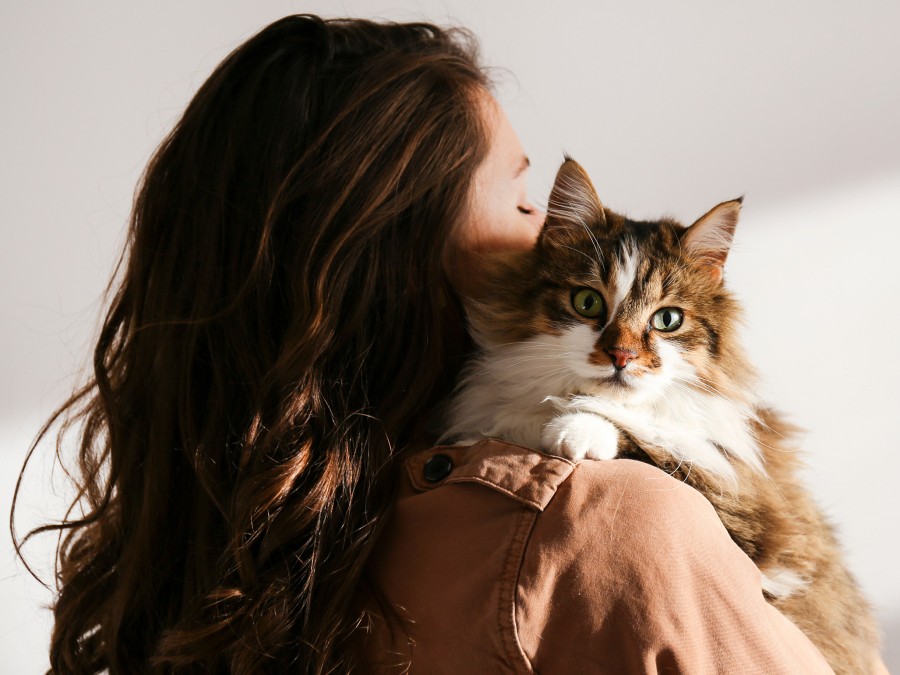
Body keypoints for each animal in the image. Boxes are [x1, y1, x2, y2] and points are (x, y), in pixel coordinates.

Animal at [440, 160, 884, 675]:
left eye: (667, 320)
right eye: (587, 302)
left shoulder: (755, 521)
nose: (622, 356)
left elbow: (649, 434)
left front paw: (574, 429)